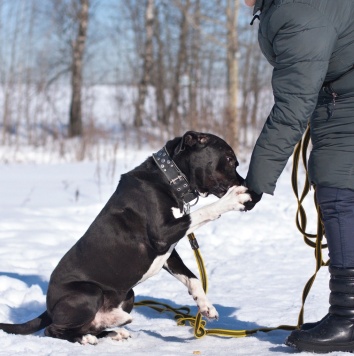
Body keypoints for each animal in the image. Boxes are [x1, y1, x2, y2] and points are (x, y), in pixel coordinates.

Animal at [0, 131, 250, 344]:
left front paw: (206, 306)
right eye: (230, 159)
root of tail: (49, 307)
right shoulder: (163, 233)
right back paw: (89, 335)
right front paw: (232, 199)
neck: (168, 178)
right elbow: (203, 212)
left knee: (91, 325)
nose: (248, 186)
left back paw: (114, 326)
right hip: (89, 292)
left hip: (128, 294)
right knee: (54, 330)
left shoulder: (169, 252)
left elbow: (193, 278)